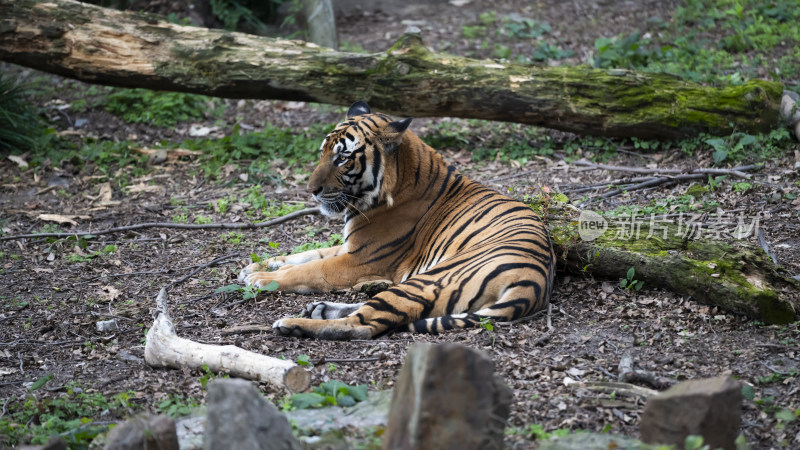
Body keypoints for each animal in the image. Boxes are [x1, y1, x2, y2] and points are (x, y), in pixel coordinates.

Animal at [239, 102, 556, 340]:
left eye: (342, 158)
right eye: (323, 152)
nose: (311, 190)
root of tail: (534, 284)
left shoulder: (359, 259)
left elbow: (309, 269)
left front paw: (260, 279)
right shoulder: (349, 246)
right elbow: (304, 255)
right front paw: (254, 267)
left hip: (428, 280)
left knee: (365, 325)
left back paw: (294, 324)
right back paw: (318, 309)